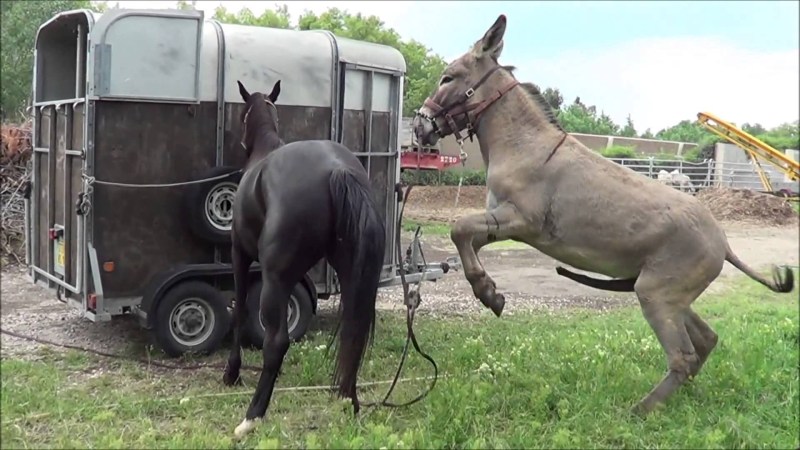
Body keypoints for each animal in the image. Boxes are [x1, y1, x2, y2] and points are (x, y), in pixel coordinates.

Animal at [223, 80, 386, 439]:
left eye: (242, 115)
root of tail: (337, 170)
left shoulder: (239, 254)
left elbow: (239, 311)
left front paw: (232, 372)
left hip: (274, 280)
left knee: (276, 343)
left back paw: (251, 417)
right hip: (353, 276)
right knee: (353, 333)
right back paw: (348, 402)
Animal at [411, 14, 794, 416]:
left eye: (448, 78)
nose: (419, 126)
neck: (523, 146)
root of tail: (723, 242)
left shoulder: (521, 220)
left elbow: (458, 228)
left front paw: (488, 294)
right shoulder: (503, 223)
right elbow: (466, 237)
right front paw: (489, 290)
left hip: (656, 294)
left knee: (683, 355)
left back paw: (642, 410)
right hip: (672, 294)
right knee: (706, 340)